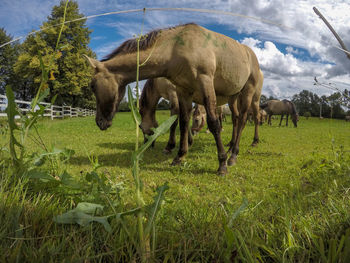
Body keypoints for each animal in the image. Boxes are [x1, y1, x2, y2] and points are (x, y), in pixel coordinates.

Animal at [84, 22, 262, 175]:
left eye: (92, 86)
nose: (100, 122)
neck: (176, 49)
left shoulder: (203, 83)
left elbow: (212, 123)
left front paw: (222, 163)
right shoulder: (183, 91)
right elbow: (183, 122)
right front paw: (180, 155)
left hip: (249, 93)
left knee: (244, 119)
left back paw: (234, 154)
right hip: (233, 97)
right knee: (236, 119)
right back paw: (231, 147)